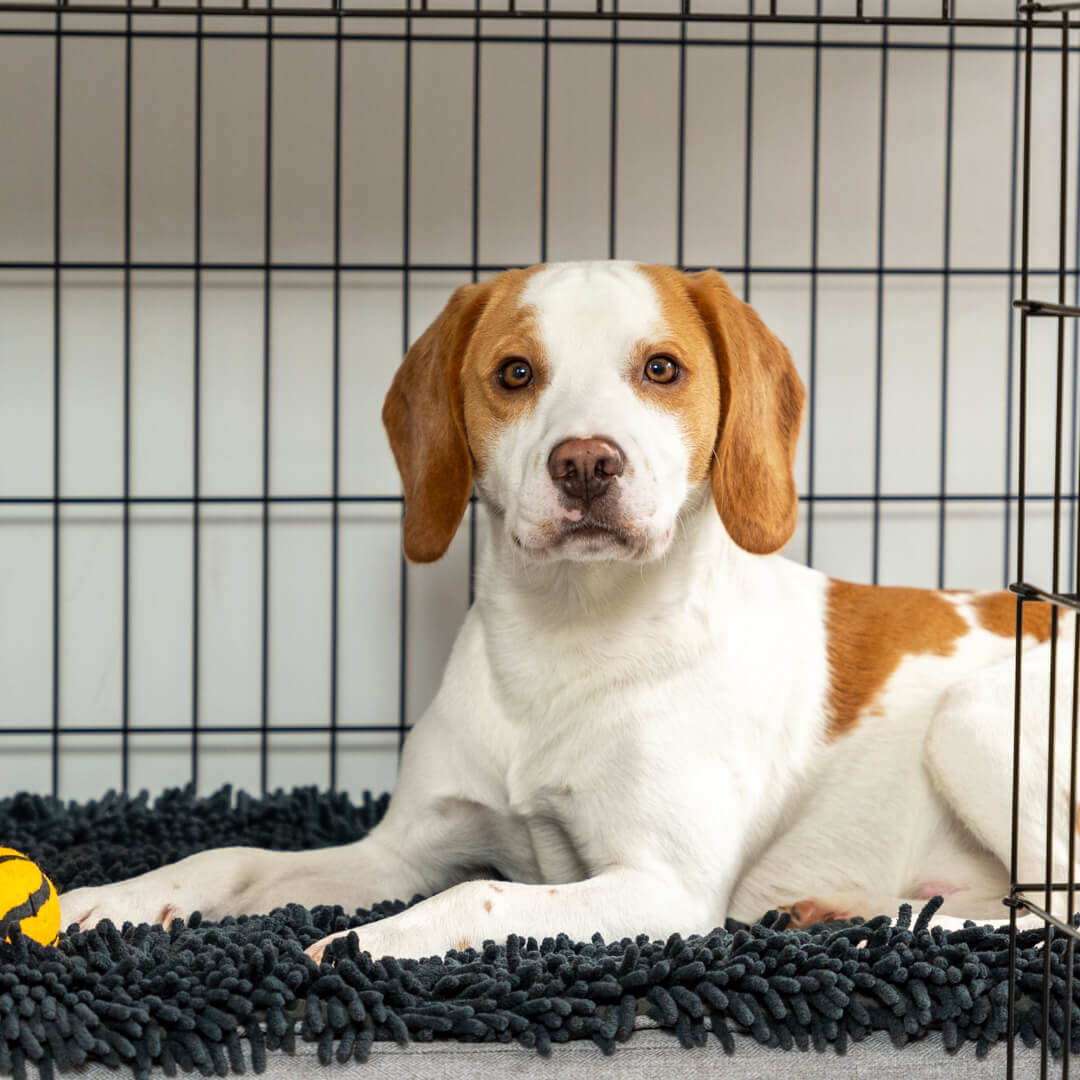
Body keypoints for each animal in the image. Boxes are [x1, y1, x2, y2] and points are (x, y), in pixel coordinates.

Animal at [59, 261, 1071, 963]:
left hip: (975, 722)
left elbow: (477, 899)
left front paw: (361, 944)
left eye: (662, 368)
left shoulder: (662, 891)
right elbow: (231, 857)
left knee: (1054, 916)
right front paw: (106, 898)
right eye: (514, 373)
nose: (586, 463)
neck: (565, 644)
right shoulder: (400, 851)